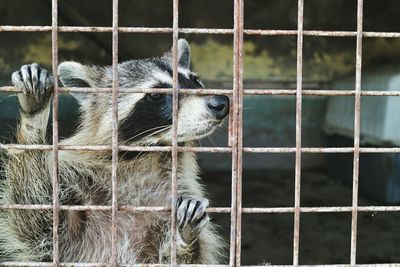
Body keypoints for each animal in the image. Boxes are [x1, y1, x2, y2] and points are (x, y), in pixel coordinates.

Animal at [0, 38, 230, 264]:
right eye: (157, 94)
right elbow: (36, 220)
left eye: (195, 81)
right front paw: (34, 116)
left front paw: (183, 239)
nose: (220, 103)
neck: (146, 157)